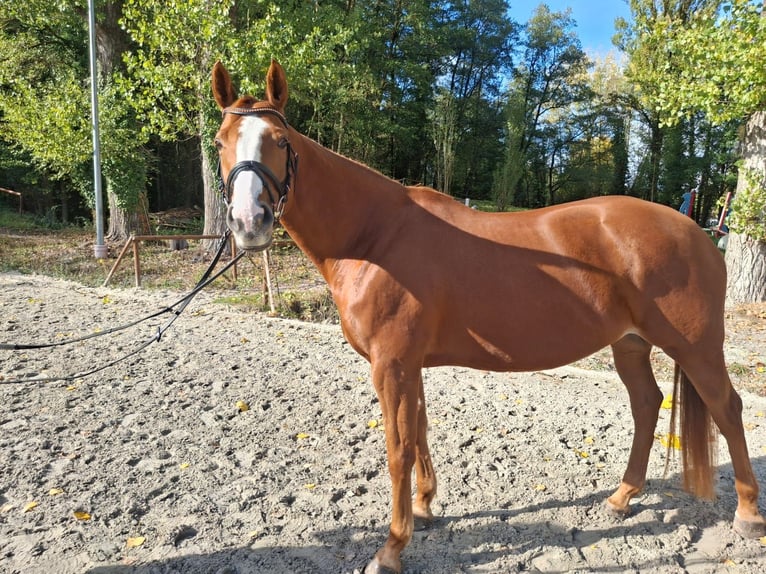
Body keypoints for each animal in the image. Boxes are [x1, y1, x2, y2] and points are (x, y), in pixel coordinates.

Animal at [211, 60, 766, 574]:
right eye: (220, 142)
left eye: (280, 141)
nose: (248, 222)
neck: (375, 237)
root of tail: (698, 233)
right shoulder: (409, 364)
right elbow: (420, 432)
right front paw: (424, 509)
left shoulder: (391, 364)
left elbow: (398, 449)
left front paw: (390, 549)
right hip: (629, 343)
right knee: (648, 405)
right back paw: (621, 497)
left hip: (695, 346)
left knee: (727, 408)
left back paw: (747, 514)